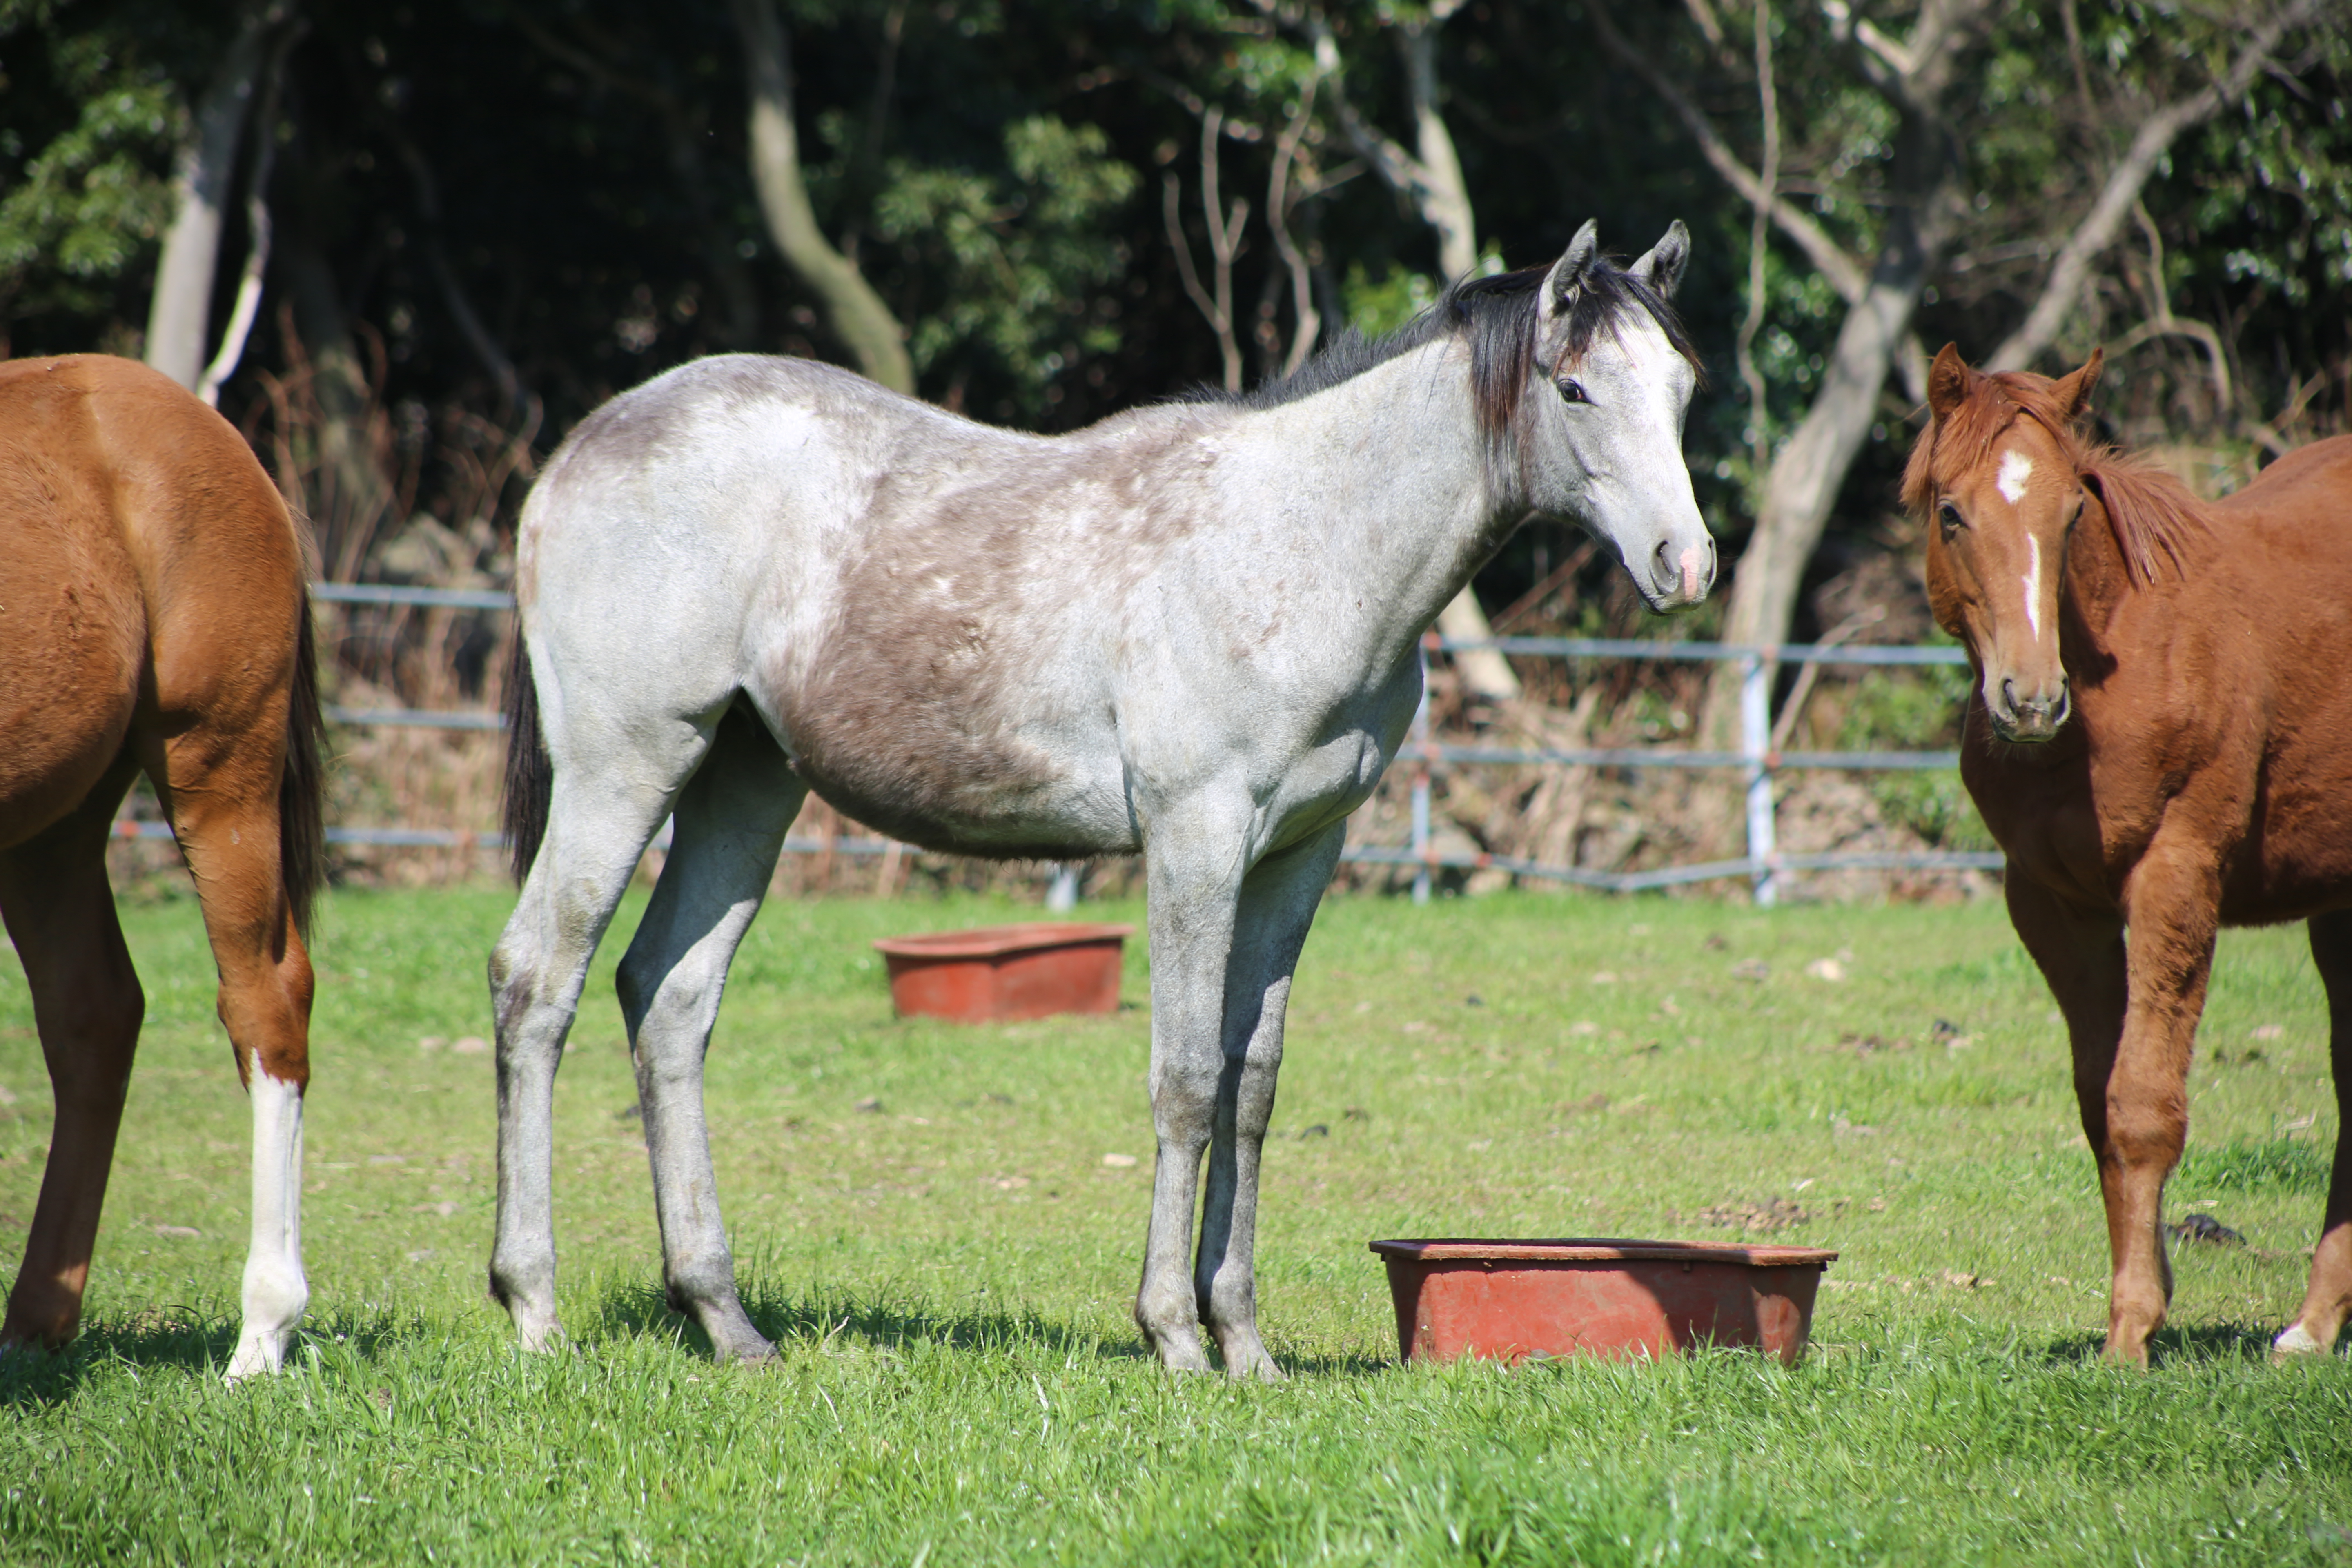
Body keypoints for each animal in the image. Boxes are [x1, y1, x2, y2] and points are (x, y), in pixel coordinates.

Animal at [0, 352, 324, 1373]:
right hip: (52, 830)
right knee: (94, 1016)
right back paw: (34, 1323)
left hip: (216, 771)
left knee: (265, 1003)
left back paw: (262, 1333)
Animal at [487, 217, 1722, 1373]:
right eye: (1575, 389)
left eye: (1680, 389)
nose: (1686, 562)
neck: (1305, 539)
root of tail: (580, 450)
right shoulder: (1195, 839)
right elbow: (1183, 1079)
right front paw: (1174, 1334)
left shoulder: (1299, 857)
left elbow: (1249, 1086)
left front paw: (1246, 1344)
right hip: (625, 769)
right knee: (536, 981)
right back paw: (534, 1310)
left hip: (745, 781)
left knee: (668, 999)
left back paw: (724, 1319)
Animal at [1910, 341, 2352, 1363]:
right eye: (1952, 513)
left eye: (2073, 512)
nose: (2031, 700)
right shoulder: (2053, 907)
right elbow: (2098, 1104)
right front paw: (2140, 1299)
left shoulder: (2175, 880)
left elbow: (2145, 1108)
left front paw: (2132, 1336)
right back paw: (2314, 1324)